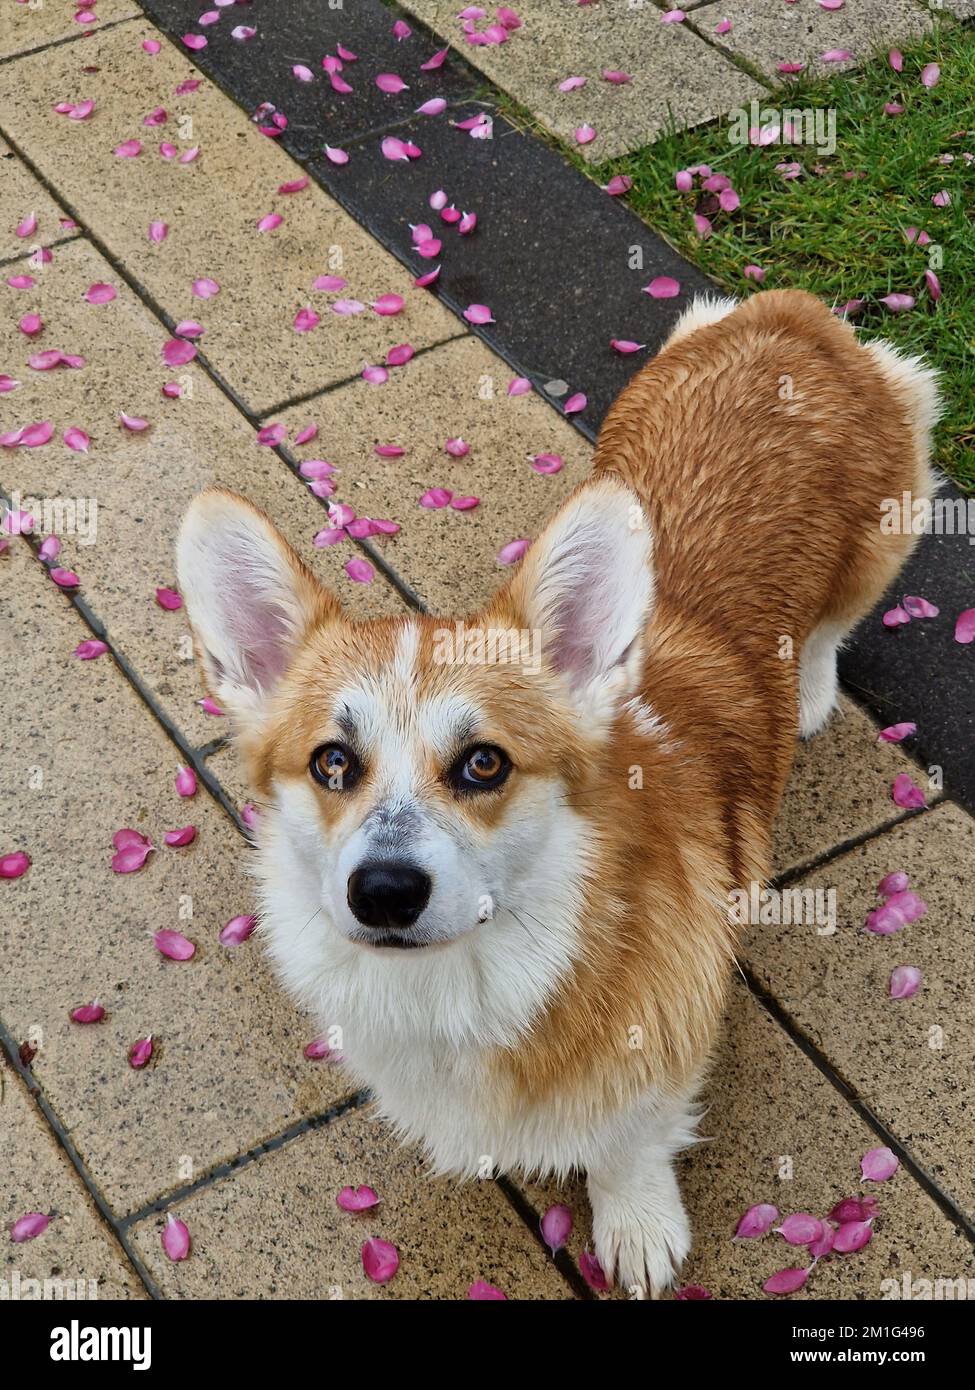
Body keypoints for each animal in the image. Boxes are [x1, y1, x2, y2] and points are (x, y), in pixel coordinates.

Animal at [175, 287, 934, 1295]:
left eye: (484, 764)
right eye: (332, 762)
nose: (383, 892)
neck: (476, 978)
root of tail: (794, 312)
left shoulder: (666, 1040)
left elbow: (630, 1141)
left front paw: (639, 1226)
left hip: (890, 525)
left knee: (831, 625)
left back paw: (808, 692)